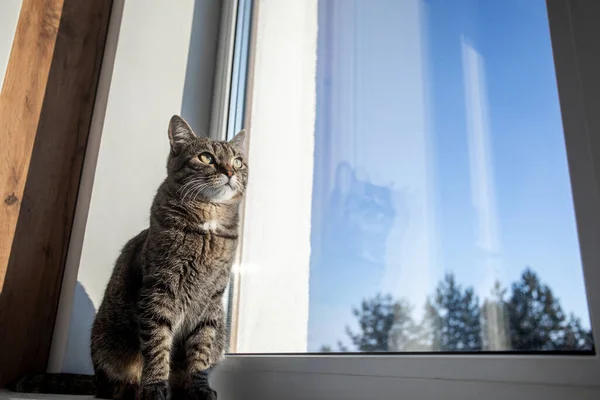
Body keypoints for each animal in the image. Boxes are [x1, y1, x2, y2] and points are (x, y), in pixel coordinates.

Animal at [11, 115, 251, 400]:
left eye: (238, 161)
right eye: (206, 157)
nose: (230, 172)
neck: (209, 223)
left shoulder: (211, 302)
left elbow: (200, 352)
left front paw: (198, 388)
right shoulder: (158, 291)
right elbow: (157, 345)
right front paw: (155, 387)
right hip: (107, 342)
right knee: (109, 386)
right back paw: (128, 388)